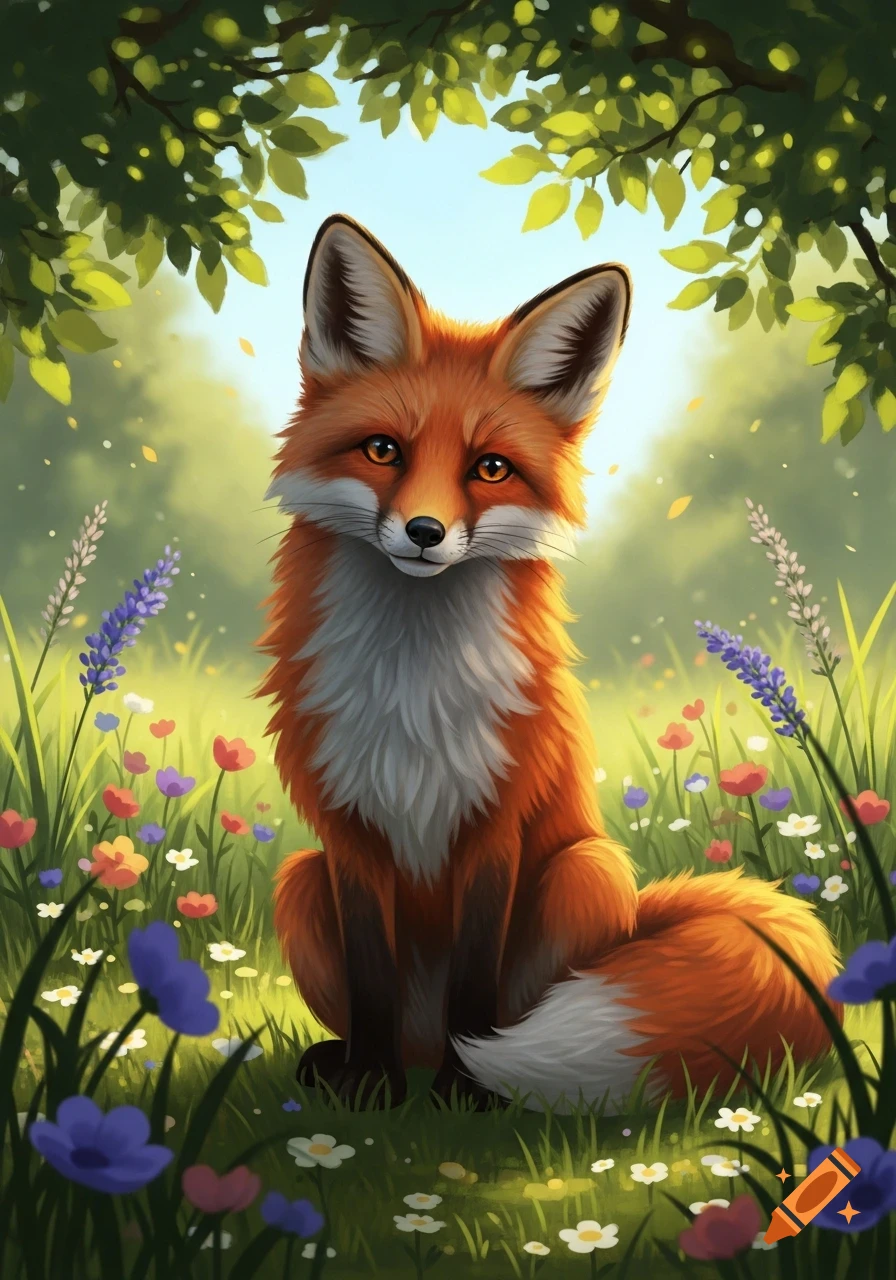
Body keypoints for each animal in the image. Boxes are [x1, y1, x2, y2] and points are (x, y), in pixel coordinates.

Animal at [259, 213, 840, 1112]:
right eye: (383, 451)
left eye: (490, 468)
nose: (424, 533)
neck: (412, 684)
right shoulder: (350, 833)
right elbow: (371, 980)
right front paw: (371, 1085)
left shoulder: (497, 826)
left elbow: (474, 982)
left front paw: (467, 1089)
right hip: (298, 881)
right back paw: (357, 1063)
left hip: (585, 871)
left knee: (508, 1006)